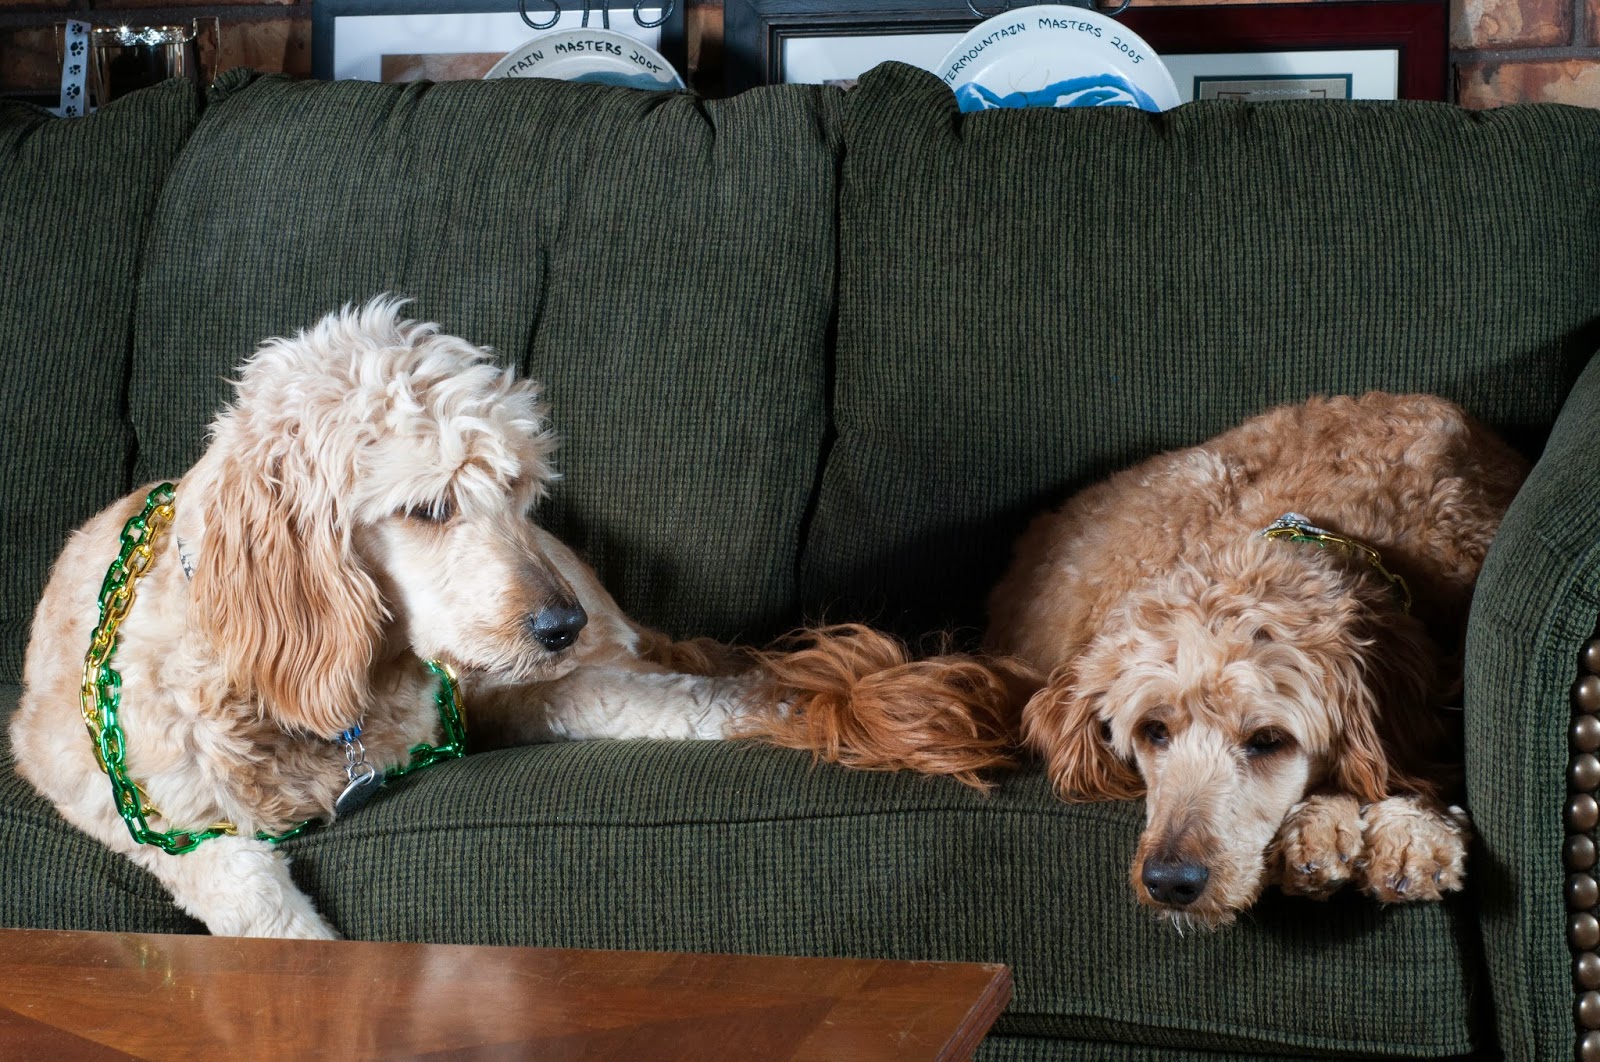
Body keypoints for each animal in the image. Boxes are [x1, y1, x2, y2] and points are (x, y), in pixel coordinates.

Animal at [10, 299, 764, 940]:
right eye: (427, 508)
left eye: (515, 488)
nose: (562, 626)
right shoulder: (125, 796)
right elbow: (248, 895)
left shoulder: (475, 697)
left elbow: (602, 694)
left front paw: (743, 709)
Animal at [757, 394, 1528, 928]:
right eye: (1153, 732)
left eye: (1268, 740)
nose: (1171, 884)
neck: (1341, 525)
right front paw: (1328, 823)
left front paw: (1408, 829)